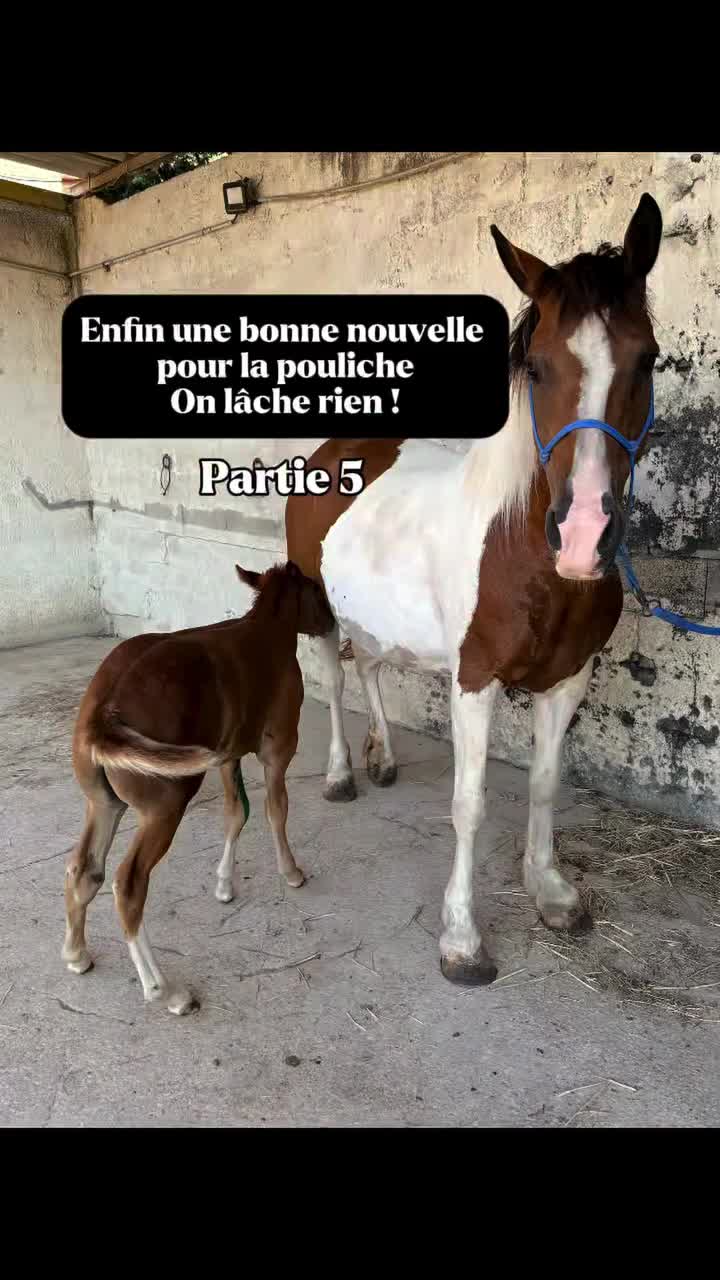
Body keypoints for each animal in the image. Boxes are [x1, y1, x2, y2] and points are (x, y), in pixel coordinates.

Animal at [62, 561, 334, 1014]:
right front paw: (292, 872)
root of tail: (103, 717)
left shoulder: (226, 756)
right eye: (317, 590)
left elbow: (236, 812)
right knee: (128, 883)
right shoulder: (278, 744)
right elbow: (275, 808)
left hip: (102, 802)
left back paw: (76, 954)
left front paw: (224, 885)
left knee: (85, 870)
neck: (266, 629)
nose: (332, 624)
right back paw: (164, 990)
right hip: (164, 805)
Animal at [286, 193, 663, 986]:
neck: (527, 558)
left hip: (376, 616)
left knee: (370, 667)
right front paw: (460, 939)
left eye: (646, 358)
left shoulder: (568, 680)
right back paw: (341, 773)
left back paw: (383, 759)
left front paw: (551, 892)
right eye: (538, 368)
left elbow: (545, 784)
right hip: (318, 607)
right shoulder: (475, 681)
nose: (583, 536)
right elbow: (469, 803)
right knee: (332, 679)